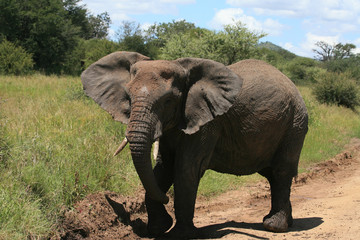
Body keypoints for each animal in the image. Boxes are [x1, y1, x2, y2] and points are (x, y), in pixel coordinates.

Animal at [80, 51, 308, 237]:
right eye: (128, 97)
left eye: (168, 101)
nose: (166, 198)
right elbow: (162, 169)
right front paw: (158, 229)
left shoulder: (207, 123)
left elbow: (185, 169)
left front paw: (180, 234)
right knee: (272, 175)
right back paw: (286, 222)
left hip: (295, 123)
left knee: (281, 172)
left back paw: (273, 226)